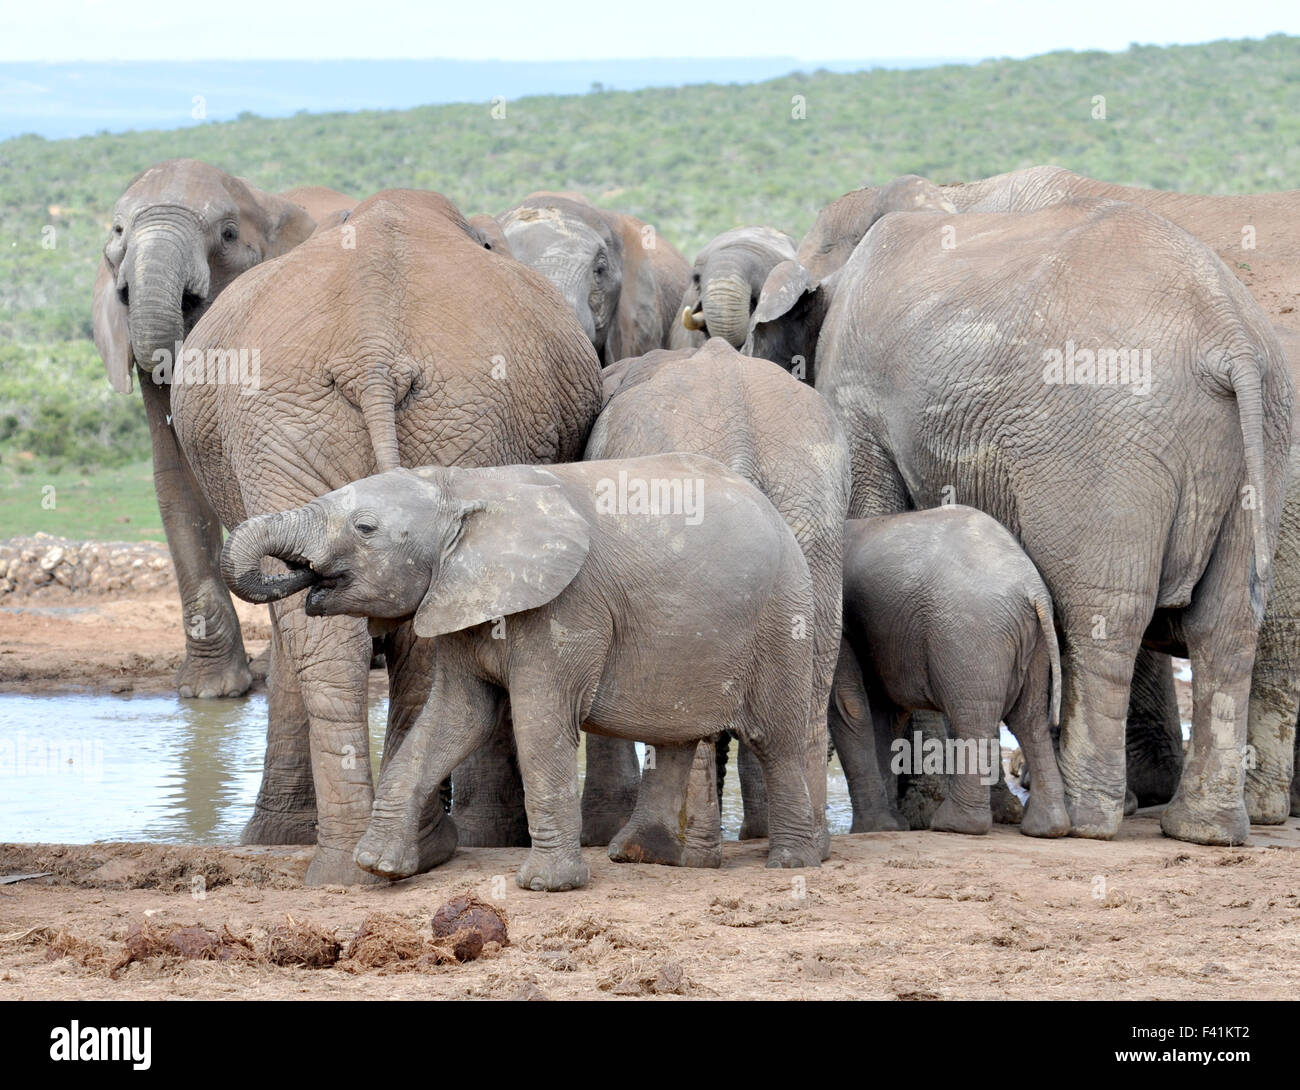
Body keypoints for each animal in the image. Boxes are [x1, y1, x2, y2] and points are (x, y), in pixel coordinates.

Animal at [169, 188, 603, 885]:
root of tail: (372, 350)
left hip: (394, 416)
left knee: (352, 636)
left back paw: (365, 862)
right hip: (347, 418)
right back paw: (394, 855)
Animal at [220, 455, 824, 890]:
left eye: (365, 528)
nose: (300, 578)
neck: (462, 485)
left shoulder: (566, 608)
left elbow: (537, 724)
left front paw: (545, 885)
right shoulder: (462, 599)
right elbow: (456, 719)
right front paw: (378, 867)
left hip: (783, 617)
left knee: (776, 737)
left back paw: (791, 863)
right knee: (673, 738)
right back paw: (639, 856)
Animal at [834, 506, 1069, 838]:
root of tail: (1033, 588)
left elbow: (855, 705)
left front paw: (879, 828)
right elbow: (883, 713)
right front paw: (893, 825)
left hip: (970, 634)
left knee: (971, 717)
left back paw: (953, 824)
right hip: (1032, 644)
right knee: (1030, 719)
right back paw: (1048, 828)